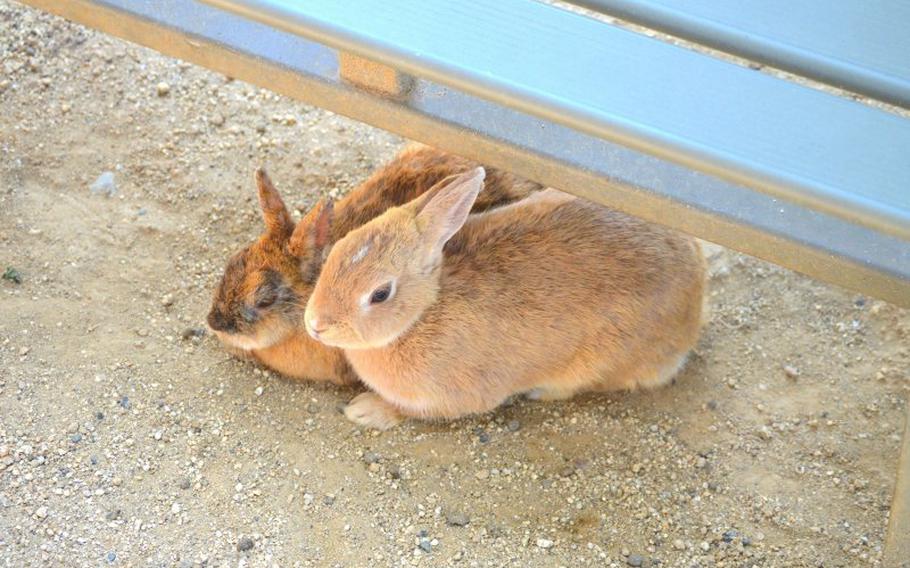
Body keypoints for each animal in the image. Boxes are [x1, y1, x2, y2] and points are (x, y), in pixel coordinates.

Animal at [302, 166, 708, 428]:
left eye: (380, 294)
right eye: (338, 248)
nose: (315, 325)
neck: (422, 313)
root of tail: (696, 296)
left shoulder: (459, 396)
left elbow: (414, 411)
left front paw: (365, 411)